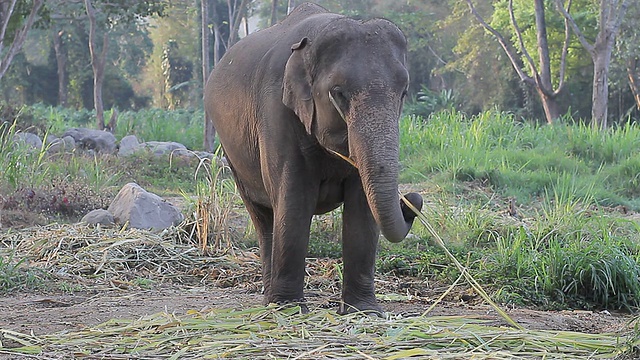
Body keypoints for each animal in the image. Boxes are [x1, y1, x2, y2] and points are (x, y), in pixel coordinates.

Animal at [205, 2, 422, 312]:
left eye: (403, 92)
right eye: (338, 93)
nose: (412, 200)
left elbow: (362, 205)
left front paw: (364, 310)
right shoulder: (276, 110)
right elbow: (294, 199)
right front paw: (290, 307)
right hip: (232, 154)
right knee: (263, 217)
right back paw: (270, 299)